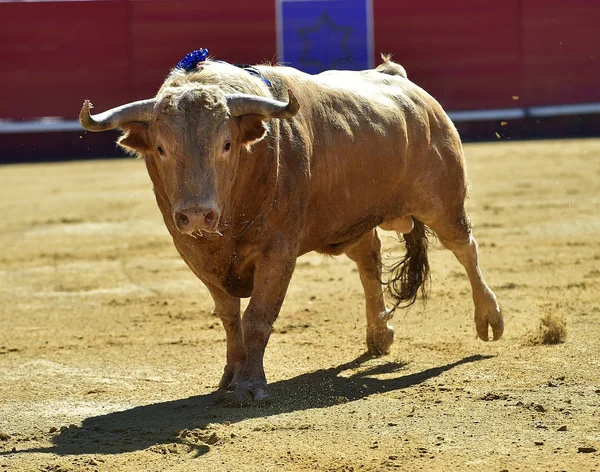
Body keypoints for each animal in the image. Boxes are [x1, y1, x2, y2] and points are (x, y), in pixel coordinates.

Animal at [78, 49, 502, 400]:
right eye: (161, 148)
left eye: (226, 145)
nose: (197, 214)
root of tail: (401, 81)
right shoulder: (195, 254)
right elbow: (230, 318)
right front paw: (230, 377)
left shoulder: (278, 253)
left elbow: (257, 318)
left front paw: (251, 386)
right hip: (351, 221)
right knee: (370, 261)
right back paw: (379, 335)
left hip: (443, 202)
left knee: (465, 248)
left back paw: (490, 319)